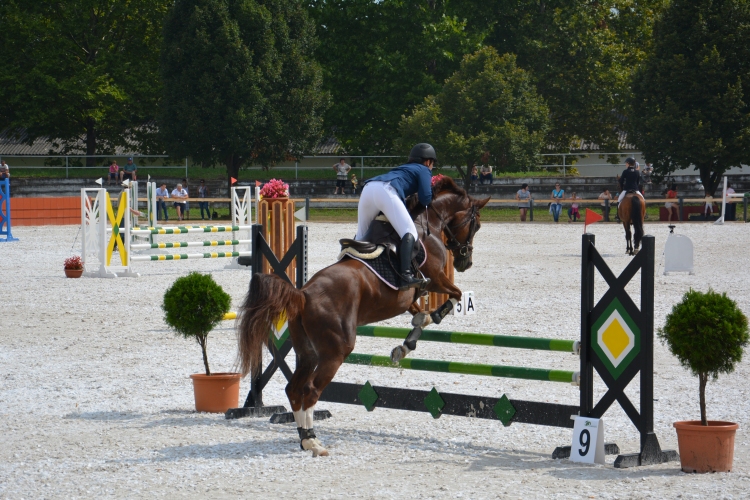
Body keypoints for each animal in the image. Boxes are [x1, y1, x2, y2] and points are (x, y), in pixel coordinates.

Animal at [238, 177, 490, 458]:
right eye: (476, 225)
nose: (465, 263)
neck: (430, 223)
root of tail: (303, 294)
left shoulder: (408, 297)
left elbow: (419, 316)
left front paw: (405, 346)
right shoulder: (435, 278)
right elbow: (455, 295)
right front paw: (434, 316)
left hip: (308, 352)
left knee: (294, 388)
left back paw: (304, 438)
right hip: (335, 352)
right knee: (310, 390)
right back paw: (314, 442)